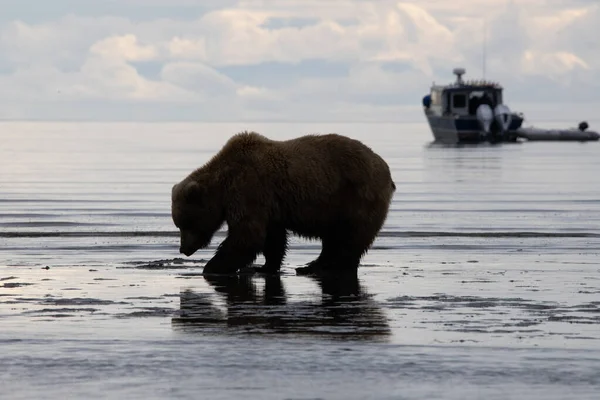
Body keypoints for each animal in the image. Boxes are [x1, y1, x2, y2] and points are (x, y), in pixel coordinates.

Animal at [170, 131, 394, 276]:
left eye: (185, 223)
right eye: (179, 224)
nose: (183, 249)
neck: (223, 184)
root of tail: (385, 168)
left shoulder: (248, 189)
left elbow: (247, 235)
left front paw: (212, 267)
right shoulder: (269, 205)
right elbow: (272, 238)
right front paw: (263, 266)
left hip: (356, 196)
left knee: (350, 235)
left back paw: (328, 266)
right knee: (335, 237)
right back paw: (312, 265)